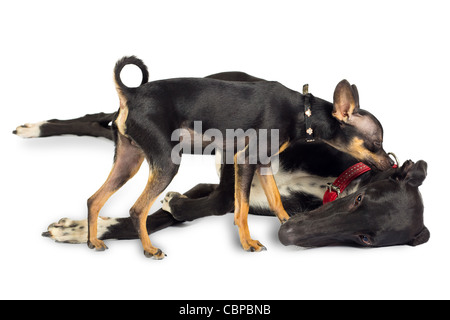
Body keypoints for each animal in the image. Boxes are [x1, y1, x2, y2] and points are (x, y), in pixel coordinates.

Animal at [14, 57, 394, 258]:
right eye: (374, 143)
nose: (390, 163)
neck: (303, 111)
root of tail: (130, 94)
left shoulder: (264, 165)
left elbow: (275, 202)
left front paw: (285, 222)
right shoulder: (246, 162)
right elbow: (240, 209)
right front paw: (247, 243)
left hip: (129, 160)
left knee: (95, 199)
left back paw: (93, 240)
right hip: (166, 162)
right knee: (136, 209)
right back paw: (150, 250)